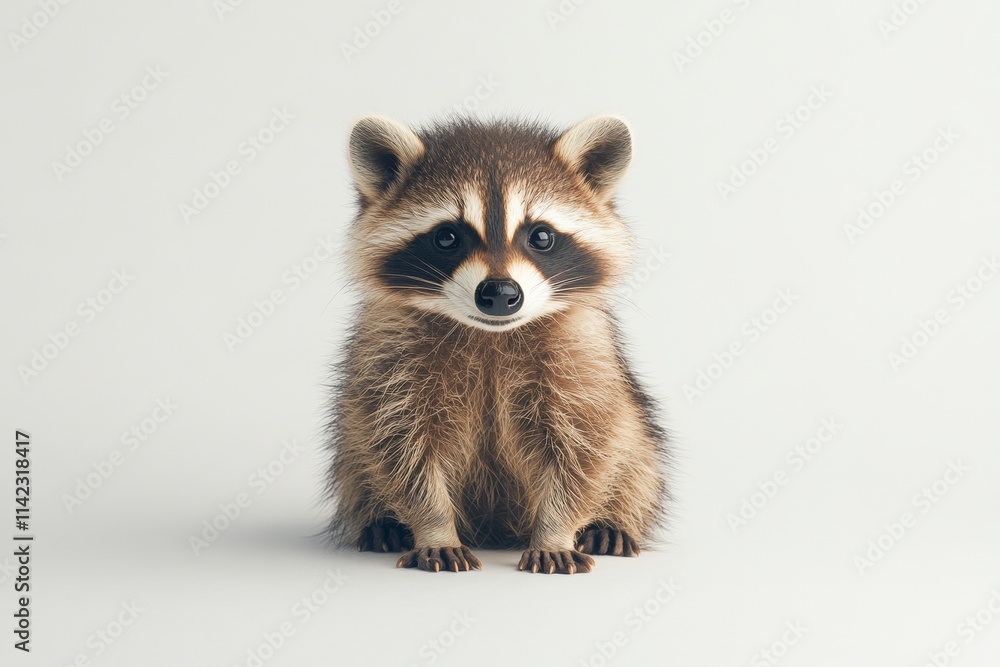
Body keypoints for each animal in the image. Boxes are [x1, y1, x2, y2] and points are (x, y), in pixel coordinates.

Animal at [325, 115, 668, 574]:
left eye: (541, 236)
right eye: (447, 237)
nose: (501, 293)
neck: (491, 334)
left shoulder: (583, 354)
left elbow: (585, 446)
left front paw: (556, 531)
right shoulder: (389, 353)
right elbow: (400, 446)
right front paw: (434, 527)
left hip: (640, 439)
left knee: (636, 452)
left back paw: (611, 521)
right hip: (349, 447)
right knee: (356, 447)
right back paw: (384, 522)